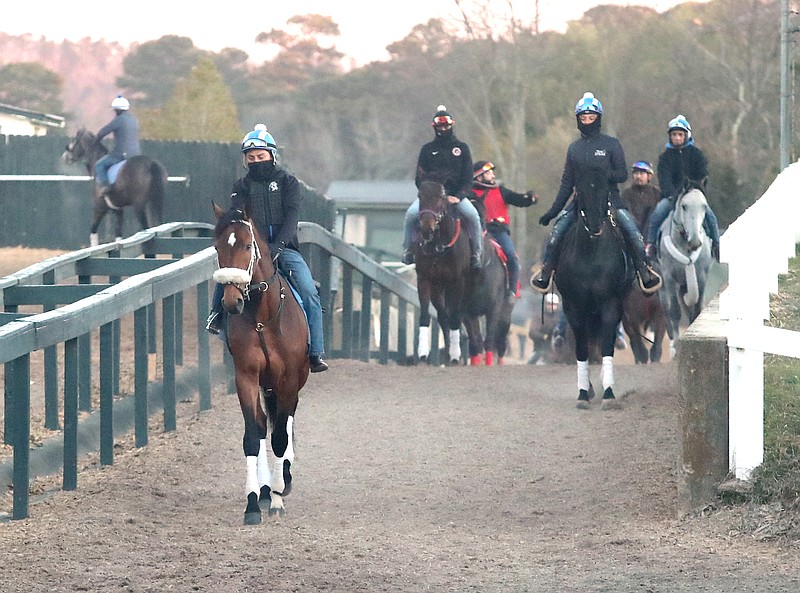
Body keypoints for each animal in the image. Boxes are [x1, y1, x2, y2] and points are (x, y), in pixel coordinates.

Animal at [209, 202, 310, 524]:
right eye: (217, 246)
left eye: (245, 245)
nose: (231, 302)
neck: (263, 319)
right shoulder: (246, 377)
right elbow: (253, 436)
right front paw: (254, 502)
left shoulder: (288, 378)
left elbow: (279, 437)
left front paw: (278, 495)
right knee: (266, 421)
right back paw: (266, 490)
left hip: (293, 381)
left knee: (285, 422)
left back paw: (283, 480)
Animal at [410, 176, 472, 364]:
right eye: (420, 195)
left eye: (441, 197)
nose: (426, 229)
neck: (438, 247)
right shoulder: (425, 280)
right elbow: (425, 315)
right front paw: (422, 354)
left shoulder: (458, 282)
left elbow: (455, 317)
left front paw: (455, 356)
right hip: (438, 289)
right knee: (444, 317)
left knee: (454, 317)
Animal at [552, 166, 636, 408]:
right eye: (580, 190)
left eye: (604, 190)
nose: (595, 223)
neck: (590, 252)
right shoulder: (573, 306)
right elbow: (582, 347)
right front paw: (583, 393)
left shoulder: (611, 303)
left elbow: (607, 343)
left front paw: (608, 391)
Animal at [656, 183, 712, 356]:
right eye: (684, 206)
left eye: (704, 206)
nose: (695, 241)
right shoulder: (669, 277)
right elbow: (675, 311)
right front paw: (675, 347)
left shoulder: (701, 277)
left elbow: (697, 307)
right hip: (663, 285)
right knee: (666, 309)